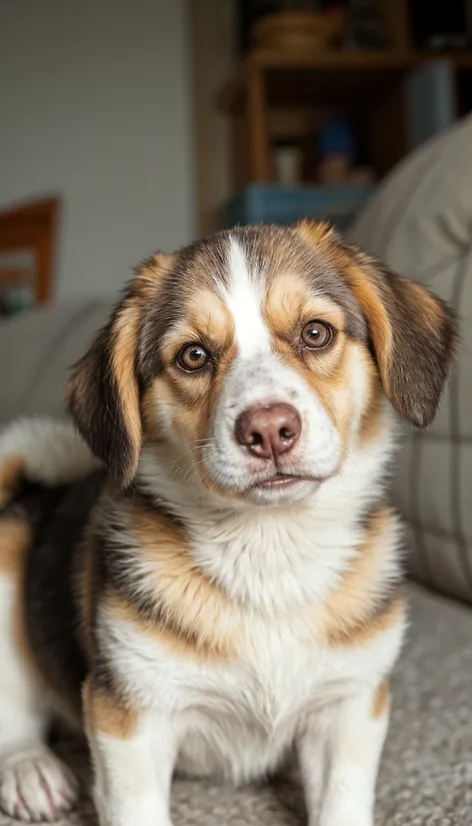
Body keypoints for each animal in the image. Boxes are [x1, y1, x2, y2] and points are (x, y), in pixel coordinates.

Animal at [0, 220, 458, 824]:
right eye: (193, 356)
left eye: (316, 333)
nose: (268, 430)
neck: (270, 548)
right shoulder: (130, 720)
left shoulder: (349, 708)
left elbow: (341, 804)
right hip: (8, 559)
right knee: (15, 710)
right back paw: (30, 770)